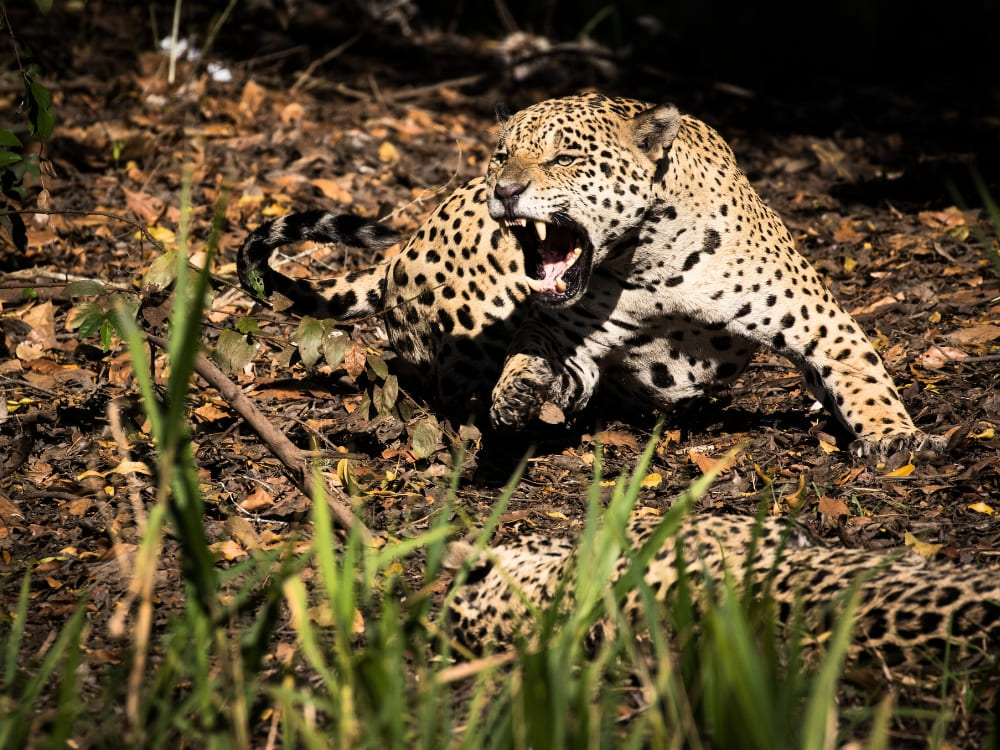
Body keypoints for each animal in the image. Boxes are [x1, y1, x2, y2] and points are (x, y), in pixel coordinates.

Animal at [238, 92, 943, 456]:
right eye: (502, 154)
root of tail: (399, 248)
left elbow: (863, 379)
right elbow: (534, 353)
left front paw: (892, 437)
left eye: (564, 157)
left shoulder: (818, 321)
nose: (504, 189)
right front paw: (519, 390)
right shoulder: (569, 338)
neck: (652, 260)